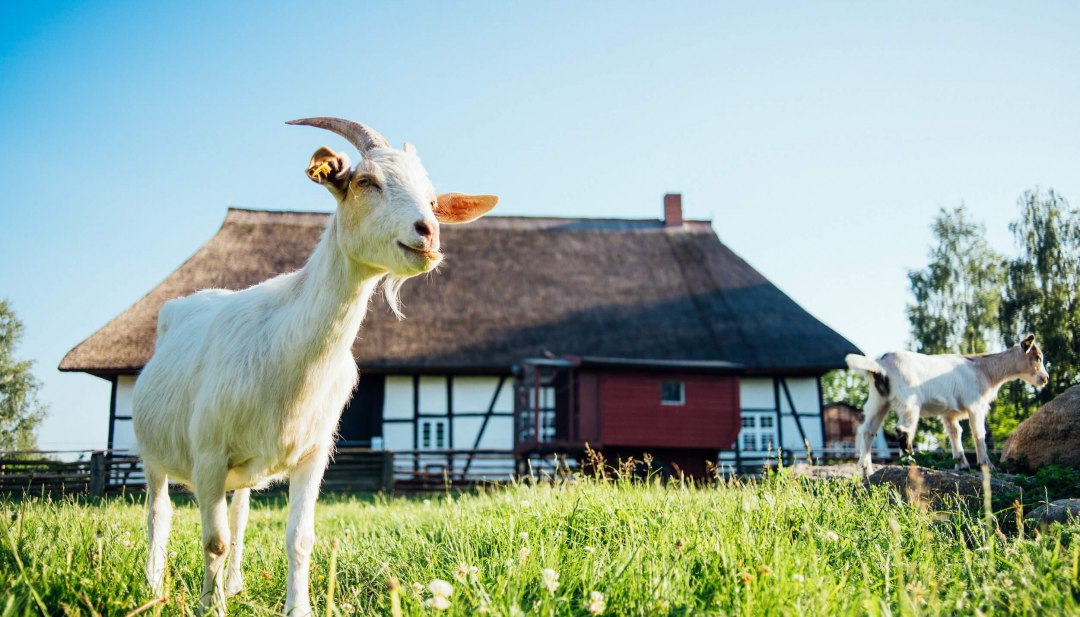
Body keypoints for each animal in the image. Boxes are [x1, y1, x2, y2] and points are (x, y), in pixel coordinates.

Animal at [131, 117, 497, 616]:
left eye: (432, 197)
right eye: (366, 182)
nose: (429, 233)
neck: (287, 347)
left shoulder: (312, 454)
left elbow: (298, 538)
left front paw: (297, 606)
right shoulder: (208, 454)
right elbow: (213, 542)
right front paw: (213, 607)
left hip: (240, 472)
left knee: (240, 513)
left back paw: (237, 582)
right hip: (153, 452)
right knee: (159, 512)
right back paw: (153, 585)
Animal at [846, 335, 1048, 476]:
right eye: (1037, 357)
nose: (1045, 378)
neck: (983, 370)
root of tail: (880, 365)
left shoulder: (949, 413)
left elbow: (955, 433)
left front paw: (962, 464)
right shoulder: (975, 406)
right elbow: (978, 434)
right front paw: (987, 465)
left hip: (879, 400)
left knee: (867, 430)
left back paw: (867, 471)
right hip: (909, 400)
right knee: (903, 430)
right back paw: (912, 462)